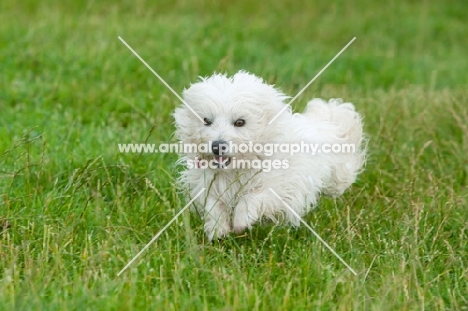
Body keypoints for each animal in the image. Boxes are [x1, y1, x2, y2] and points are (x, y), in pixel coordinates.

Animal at [173, 71, 366, 241]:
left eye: (240, 122)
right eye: (206, 120)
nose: (217, 146)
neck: (239, 167)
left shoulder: (282, 186)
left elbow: (253, 197)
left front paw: (241, 221)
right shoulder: (207, 183)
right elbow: (213, 205)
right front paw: (217, 229)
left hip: (338, 177)